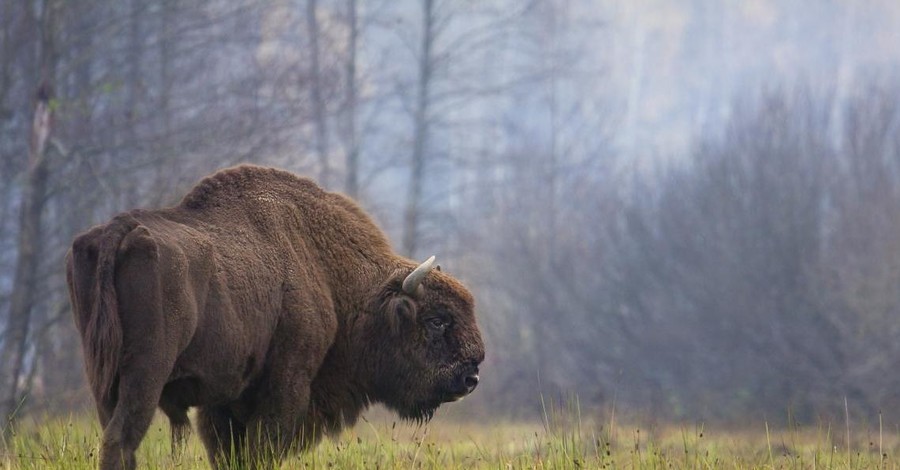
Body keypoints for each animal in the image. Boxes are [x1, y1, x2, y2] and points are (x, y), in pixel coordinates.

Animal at [65, 164, 486, 466]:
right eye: (436, 320)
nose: (471, 375)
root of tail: (119, 229)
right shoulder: (284, 386)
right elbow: (261, 449)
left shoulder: (223, 403)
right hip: (146, 373)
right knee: (122, 438)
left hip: (102, 378)